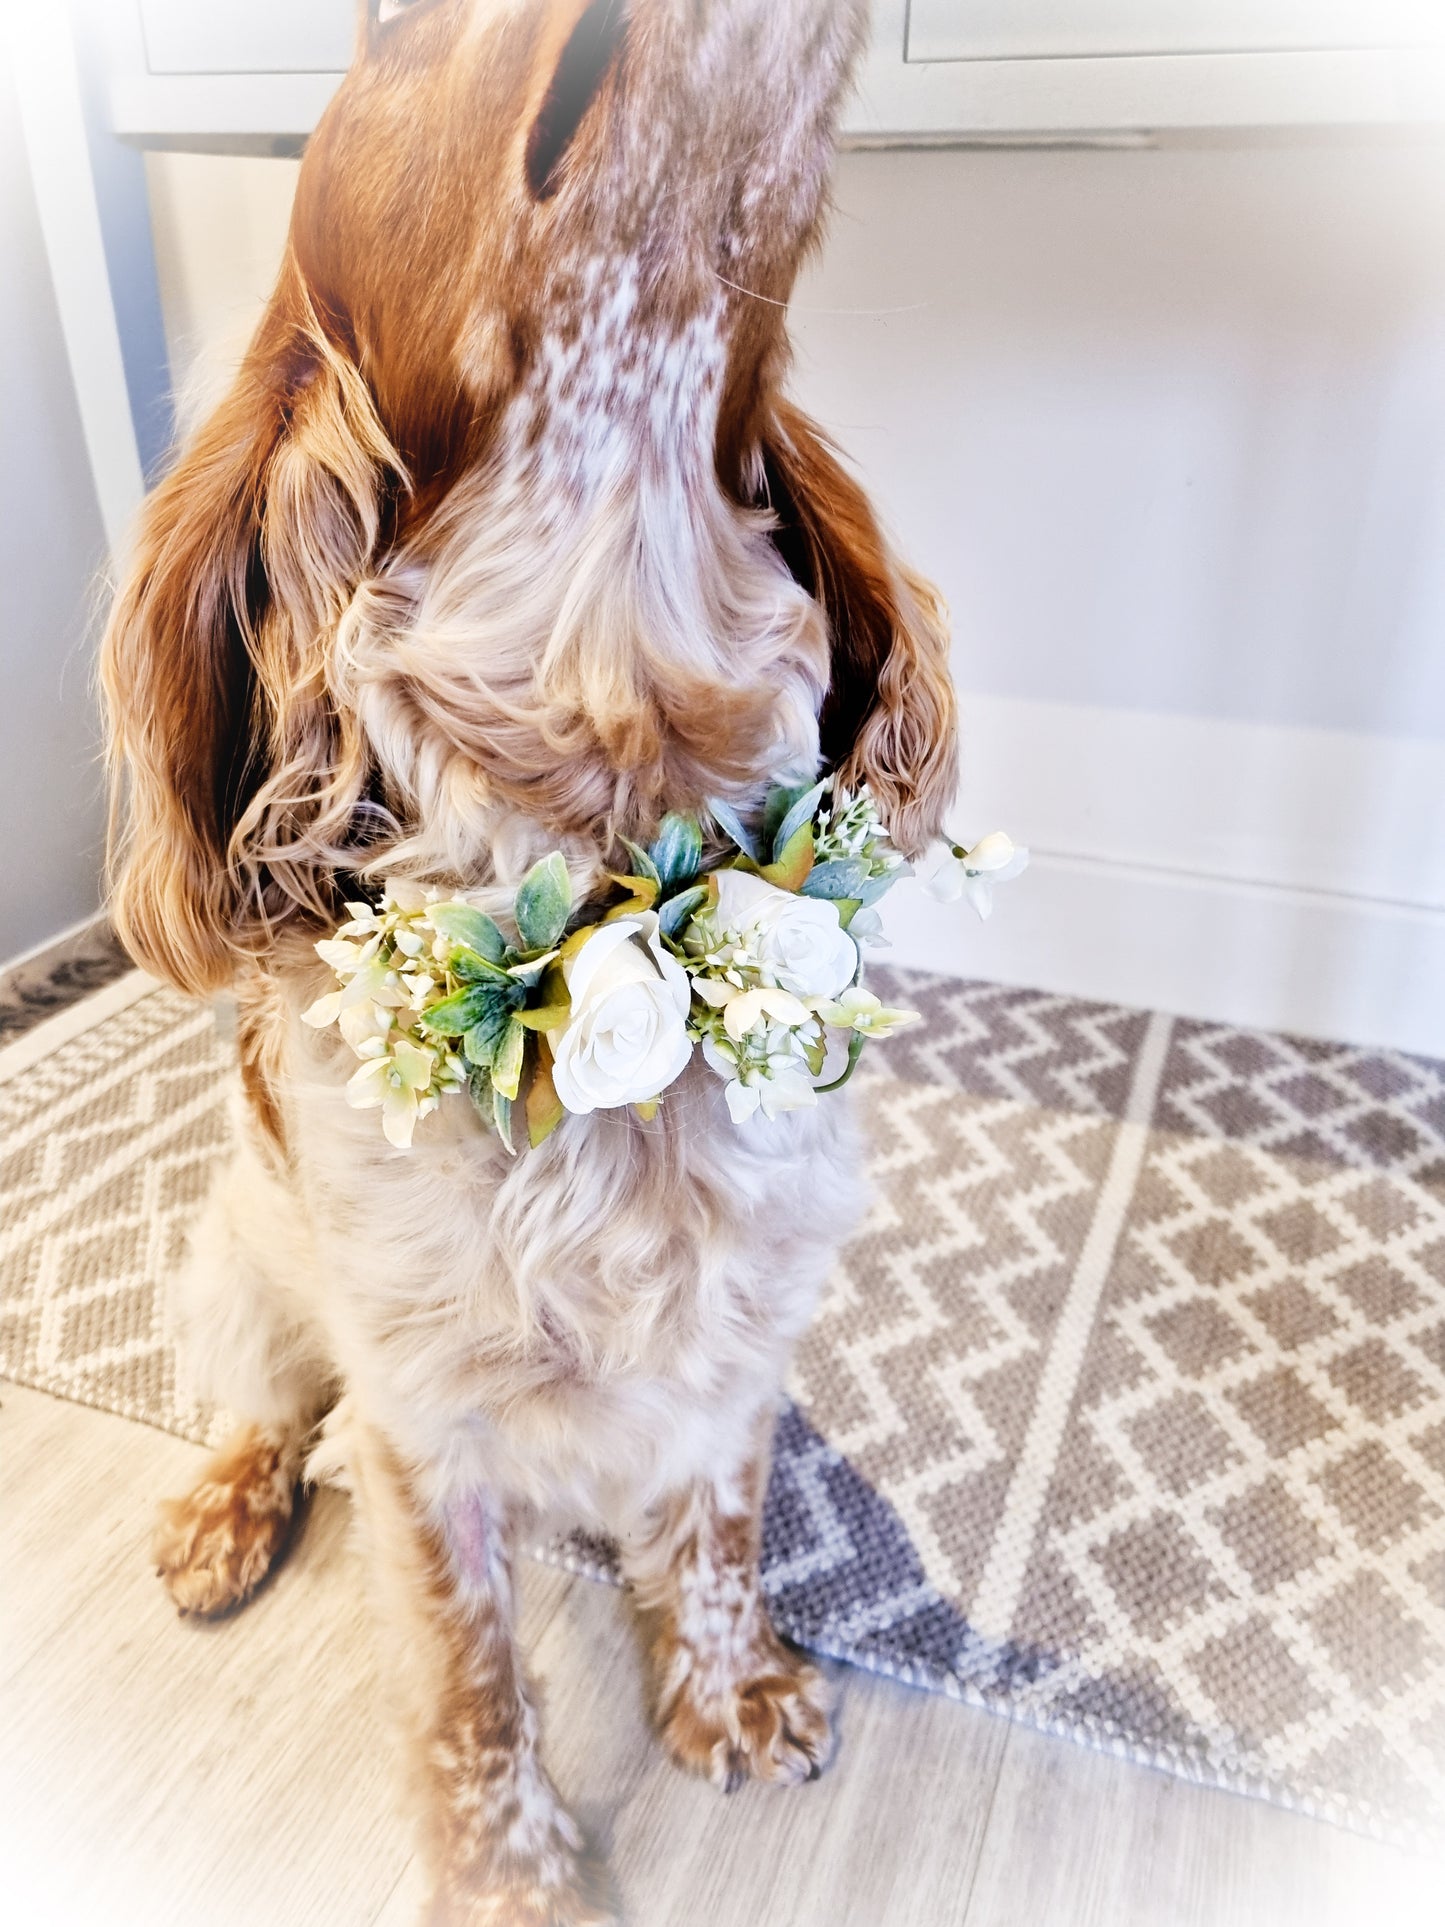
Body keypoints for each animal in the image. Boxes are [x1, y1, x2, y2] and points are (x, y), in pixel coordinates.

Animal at [104, 7, 963, 1919]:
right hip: (236, 1268)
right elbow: (468, 1671)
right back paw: (214, 1516)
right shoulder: (424, 1428)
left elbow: (715, 1532)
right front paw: (511, 1873)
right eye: (397, 35)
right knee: (259, 1410)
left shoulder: (736, 1350)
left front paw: (725, 1691)